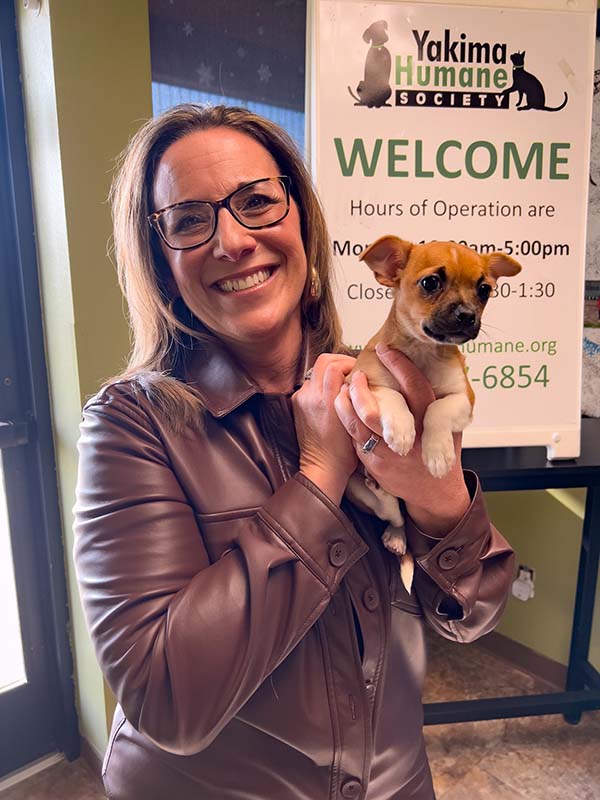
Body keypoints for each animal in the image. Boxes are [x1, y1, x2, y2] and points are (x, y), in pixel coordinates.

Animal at [344, 234, 524, 592]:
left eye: (484, 289)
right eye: (431, 283)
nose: (467, 315)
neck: (423, 351)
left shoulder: (463, 398)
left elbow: (437, 409)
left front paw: (437, 454)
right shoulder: (364, 382)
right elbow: (392, 395)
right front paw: (401, 431)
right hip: (361, 492)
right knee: (393, 513)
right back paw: (391, 522)